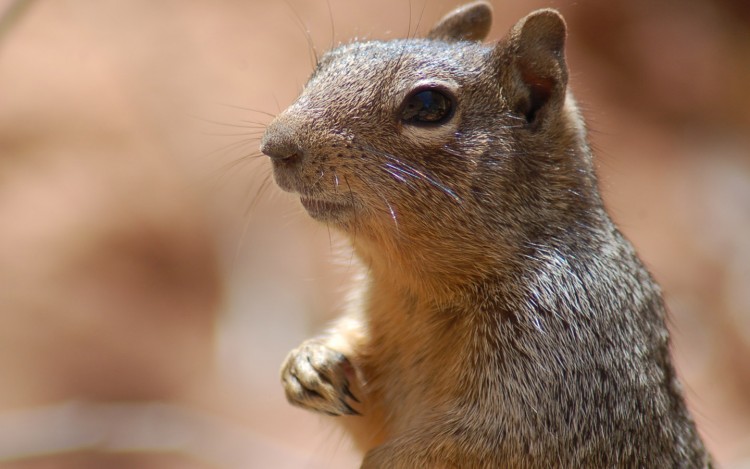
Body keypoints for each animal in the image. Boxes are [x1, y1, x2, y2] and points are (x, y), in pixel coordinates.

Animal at [262, 1, 712, 466]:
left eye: (429, 105)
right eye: (327, 62)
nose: (275, 145)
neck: (418, 291)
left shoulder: (563, 365)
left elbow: (475, 441)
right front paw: (307, 363)